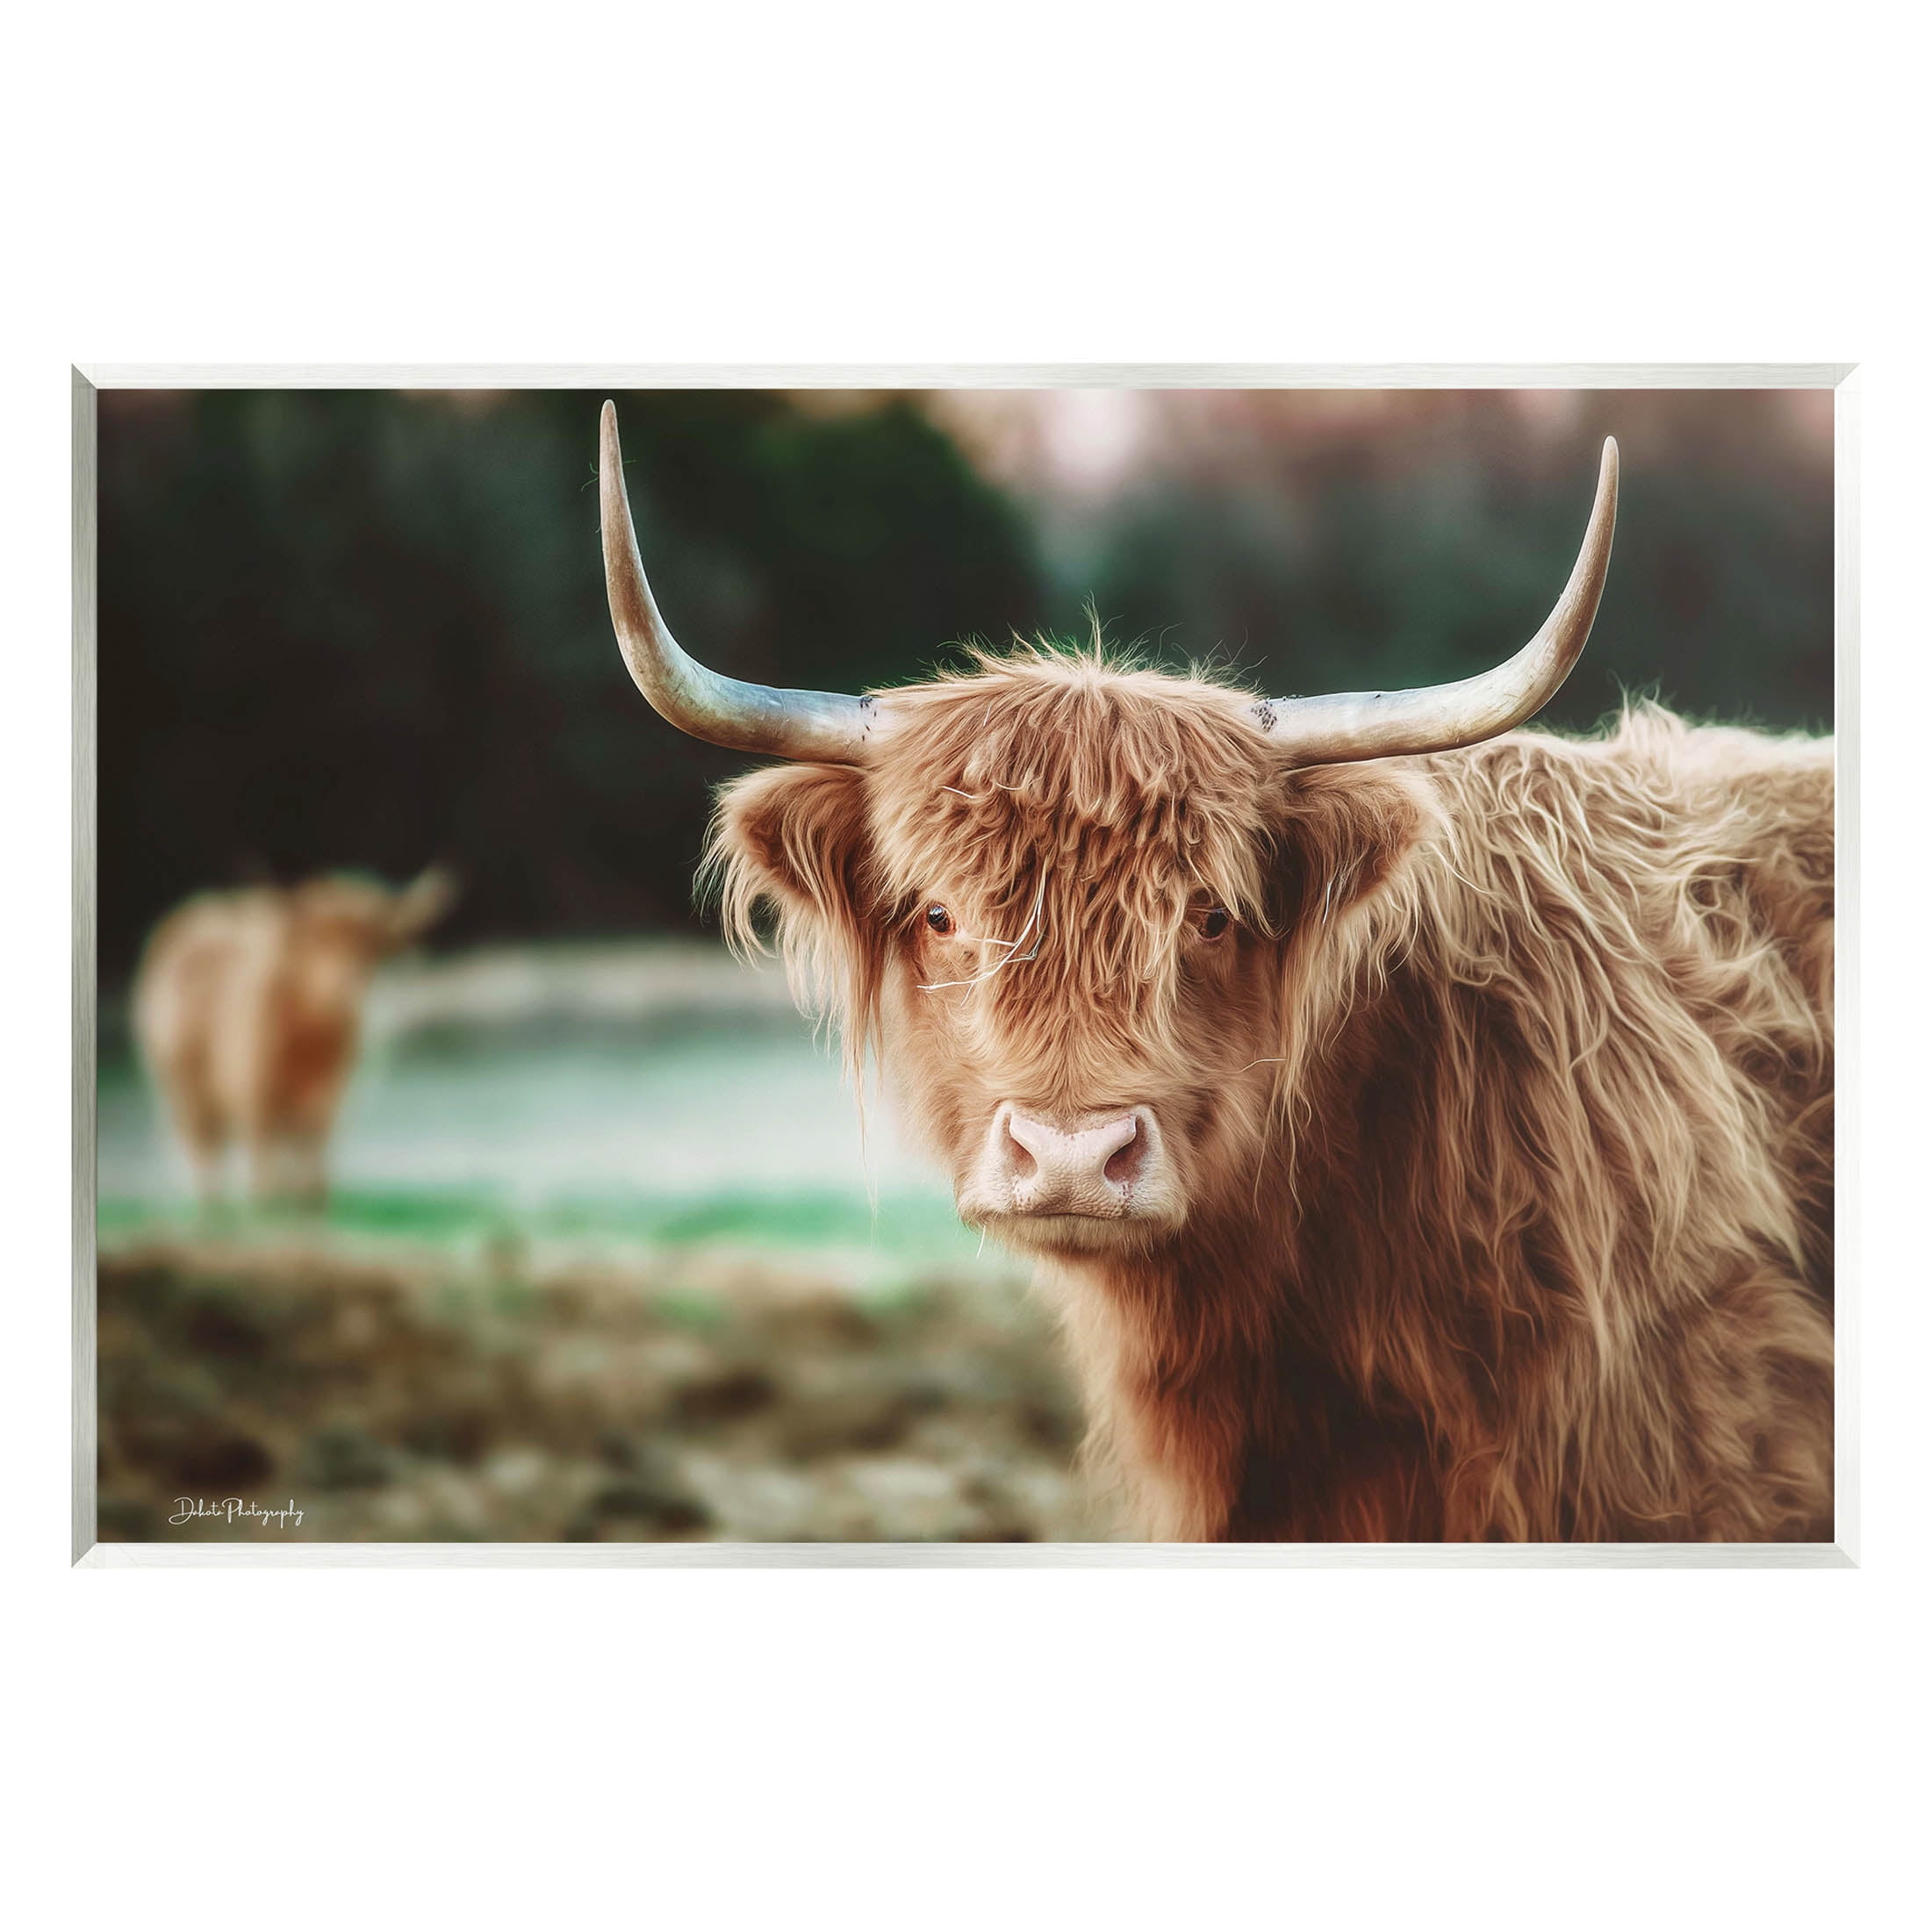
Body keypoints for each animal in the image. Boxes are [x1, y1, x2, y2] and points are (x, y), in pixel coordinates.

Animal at [133, 868, 455, 1207]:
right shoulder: (255, 1107)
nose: (343, 990)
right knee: (210, 1169)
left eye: (370, 946)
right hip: (187, 1098)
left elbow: (314, 1184)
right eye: (318, 942)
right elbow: (263, 1183)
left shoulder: (322, 1113)